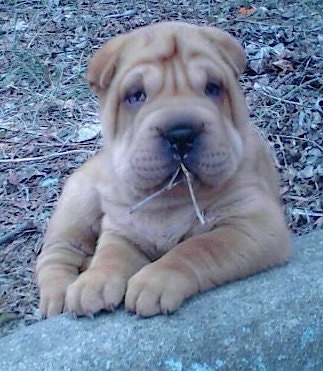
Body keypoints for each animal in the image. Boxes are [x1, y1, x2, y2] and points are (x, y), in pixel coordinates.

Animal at [36, 22, 292, 320]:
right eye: (136, 95)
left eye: (212, 88)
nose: (181, 134)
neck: (169, 199)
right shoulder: (122, 228)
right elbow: (111, 254)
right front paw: (94, 282)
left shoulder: (253, 225)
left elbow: (197, 248)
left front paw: (153, 282)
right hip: (78, 202)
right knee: (57, 252)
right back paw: (57, 295)